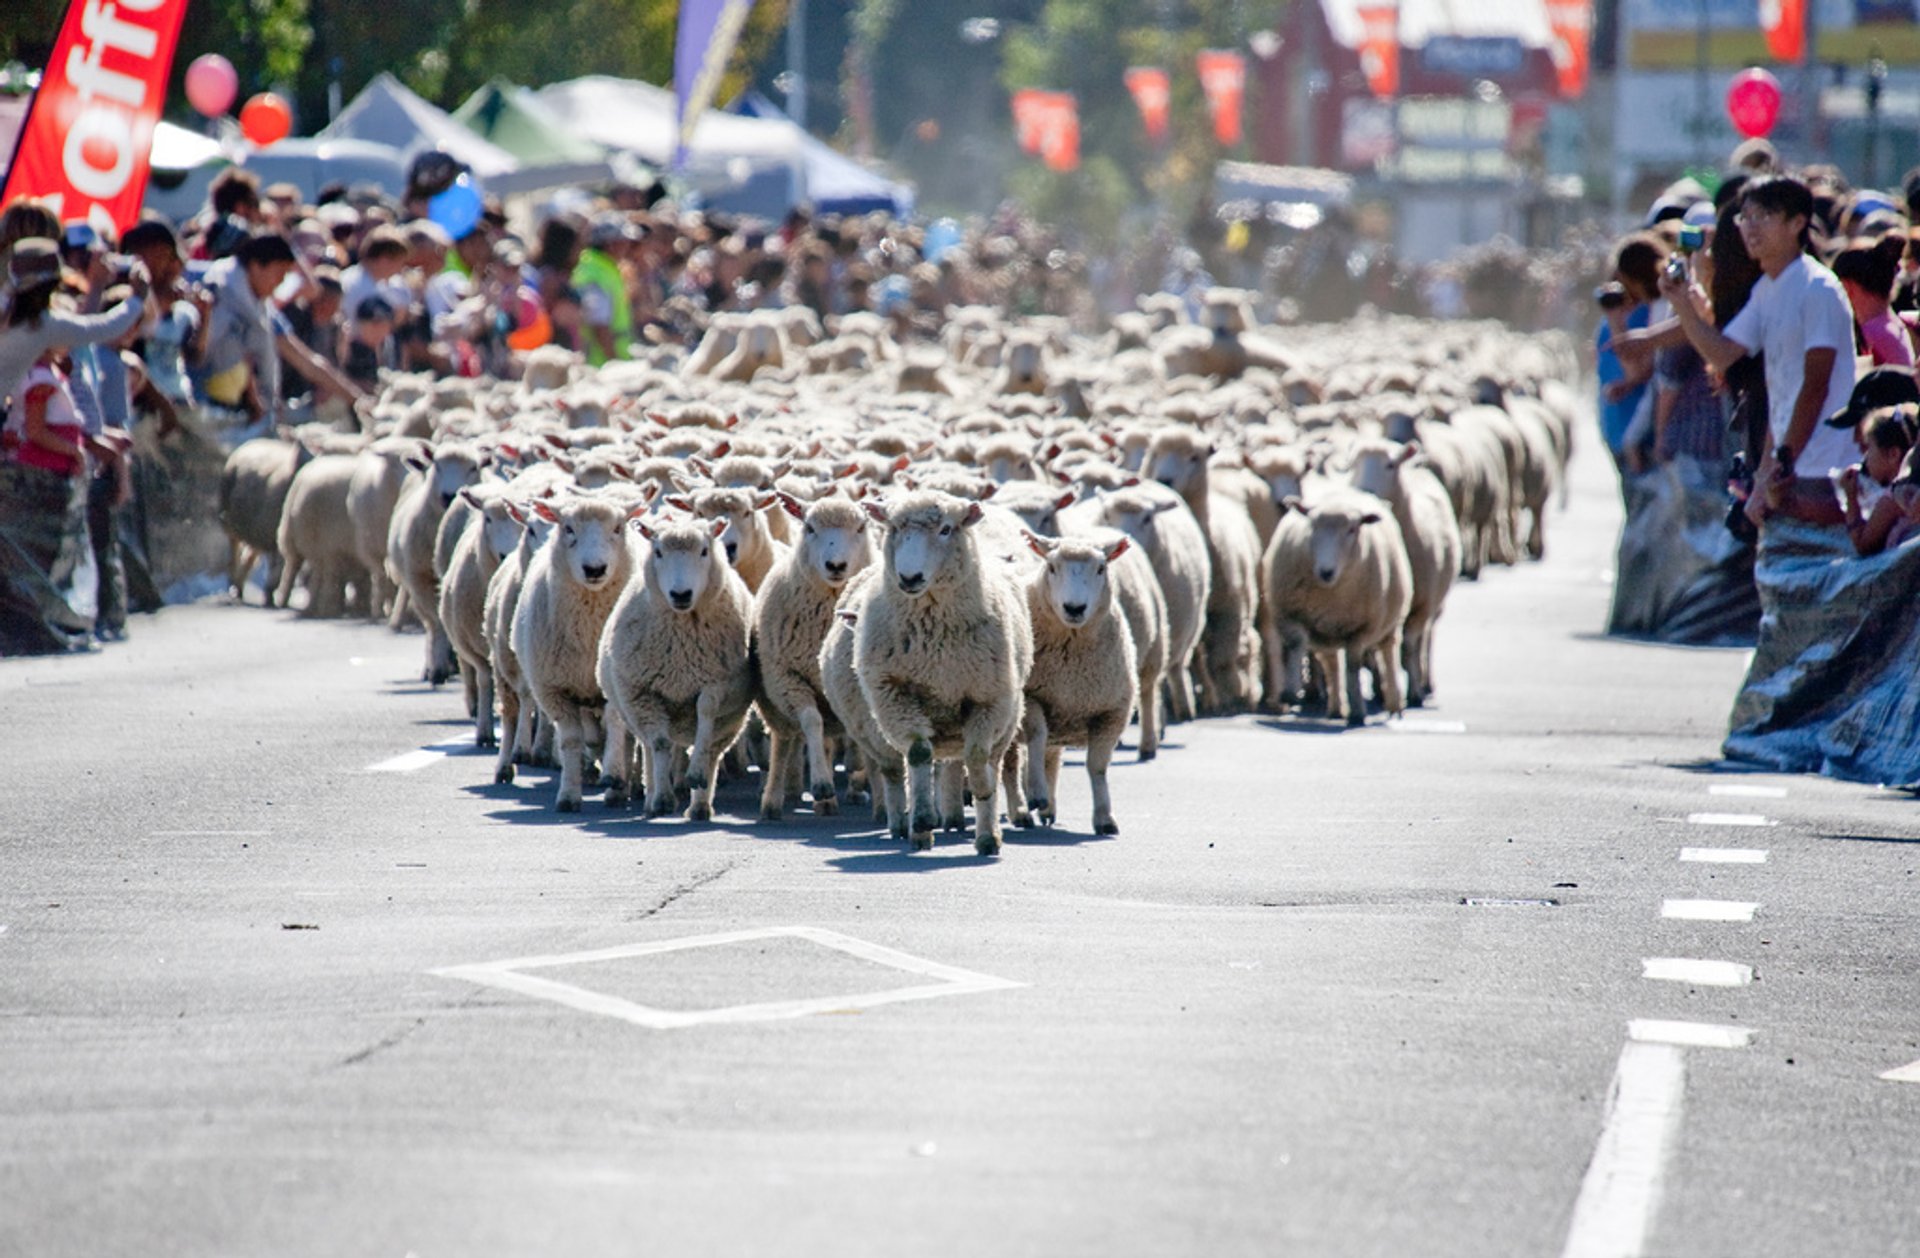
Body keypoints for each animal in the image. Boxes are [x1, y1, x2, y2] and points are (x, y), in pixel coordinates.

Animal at [510, 495, 637, 810]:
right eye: (568, 528)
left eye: (618, 528)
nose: (595, 569)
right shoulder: (553, 691)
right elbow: (571, 741)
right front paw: (568, 794)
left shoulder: (616, 681)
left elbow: (615, 722)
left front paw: (613, 773)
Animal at [595, 514, 752, 822]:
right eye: (658, 552)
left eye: (704, 551)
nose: (681, 594)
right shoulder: (643, 693)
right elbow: (659, 744)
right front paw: (663, 799)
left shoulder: (721, 683)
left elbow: (706, 712)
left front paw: (696, 773)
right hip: (636, 711)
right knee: (651, 746)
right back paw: (653, 799)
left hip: (731, 720)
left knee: (713, 749)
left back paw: (700, 804)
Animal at [856, 491, 1036, 856]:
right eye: (894, 527)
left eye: (946, 529)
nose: (909, 578)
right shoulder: (894, 695)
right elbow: (918, 752)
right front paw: (924, 818)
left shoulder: (989, 699)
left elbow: (978, 758)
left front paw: (983, 797)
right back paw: (920, 831)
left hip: (1008, 716)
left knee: (992, 760)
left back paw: (987, 831)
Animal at [1021, 533, 1136, 837]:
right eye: (1051, 567)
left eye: (1101, 568)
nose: (1074, 608)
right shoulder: (1030, 697)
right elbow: (1036, 735)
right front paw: (1035, 792)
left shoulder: (1111, 713)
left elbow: (1097, 767)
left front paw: (1105, 817)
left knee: (1047, 757)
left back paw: (1046, 809)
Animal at [1267, 491, 1420, 729]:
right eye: (1312, 525)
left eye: (1352, 529)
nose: (1326, 571)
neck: (1332, 592)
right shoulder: (1288, 613)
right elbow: (1296, 643)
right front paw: (1290, 692)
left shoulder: (1361, 630)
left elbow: (1353, 666)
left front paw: (1357, 712)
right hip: (1325, 632)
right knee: (1331, 664)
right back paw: (1336, 708)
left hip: (1390, 621)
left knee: (1388, 653)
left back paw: (1395, 704)